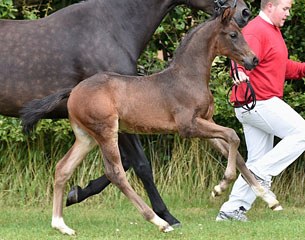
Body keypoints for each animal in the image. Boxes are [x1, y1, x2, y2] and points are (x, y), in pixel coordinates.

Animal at [21, 6, 280, 235]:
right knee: (115, 172)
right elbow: (233, 136)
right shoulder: (188, 126)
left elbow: (235, 152)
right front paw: (220, 187)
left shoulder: (205, 122)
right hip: (106, 131)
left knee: (63, 168)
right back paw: (160, 222)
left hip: (86, 137)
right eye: (233, 35)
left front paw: (269, 199)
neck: (188, 77)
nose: (253, 60)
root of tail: (73, 91)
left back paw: (61, 225)